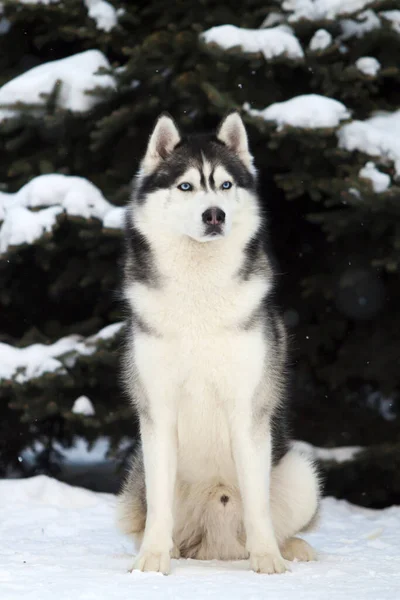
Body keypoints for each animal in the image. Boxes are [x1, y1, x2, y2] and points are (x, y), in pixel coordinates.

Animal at [116, 110, 322, 576]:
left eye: (226, 185)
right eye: (185, 186)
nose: (215, 215)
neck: (200, 293)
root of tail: (216, 546)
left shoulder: (248, 408)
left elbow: (258, 506)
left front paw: (268, 560)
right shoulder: (157, 411)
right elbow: (158, 510)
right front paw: (152, 560)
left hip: (301, 472)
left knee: (273, 516)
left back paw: (291, 547)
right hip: (141, 474)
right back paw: (172, 549)